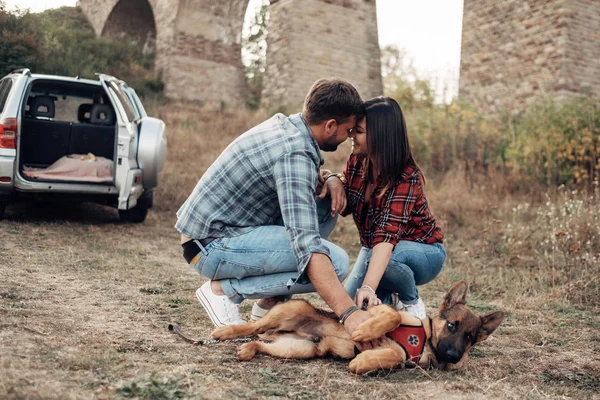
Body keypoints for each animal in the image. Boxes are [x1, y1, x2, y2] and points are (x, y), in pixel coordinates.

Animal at [213, 282, 504, 376]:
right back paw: (225, 333)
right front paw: (365, 334)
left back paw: (249, 349)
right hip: (291, 310)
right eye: (452, 325)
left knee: (262, 342)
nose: (453, 357)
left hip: (299, 349)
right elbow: (392, 317)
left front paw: (361, 361)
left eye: (470, 337)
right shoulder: (375, 310)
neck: (425, 342)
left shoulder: (402, 358)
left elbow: (393, 355)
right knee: (253, 325)